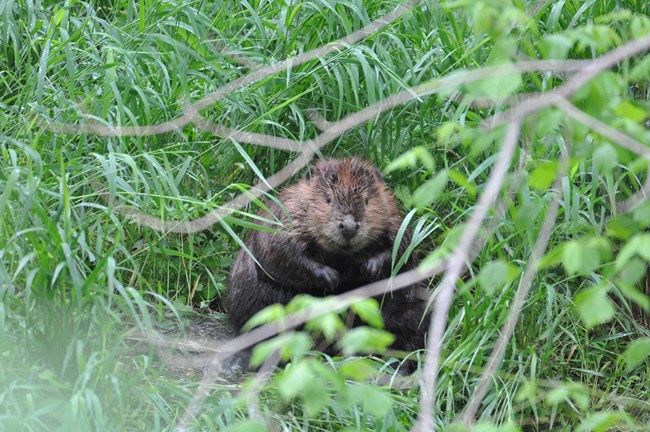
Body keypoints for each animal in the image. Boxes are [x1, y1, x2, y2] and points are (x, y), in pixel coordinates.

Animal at [218, 157, 430, 366]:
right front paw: (330, 277)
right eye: (328, 199)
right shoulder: (286, 216)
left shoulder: (393, 216)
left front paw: (370, 267)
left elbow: (401, 246)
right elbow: (281, 250)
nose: (349, 226)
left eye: (367, 201)